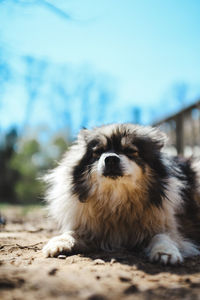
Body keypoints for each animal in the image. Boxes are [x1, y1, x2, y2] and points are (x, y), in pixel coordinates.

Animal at [42, 123, 200, 264]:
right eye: (98, 152)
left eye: (130, 151)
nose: (111, 158)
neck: (117, 201)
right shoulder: (90, 230)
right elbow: (70, 233)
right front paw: (58, 242)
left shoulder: (168, 228)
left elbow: (162, 237)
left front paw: (165, 252)